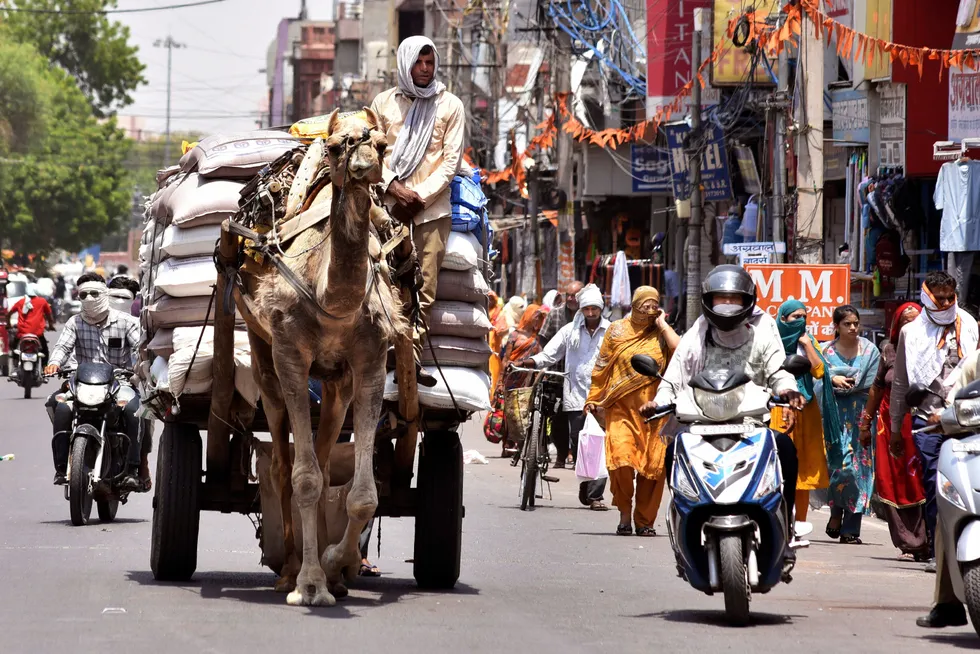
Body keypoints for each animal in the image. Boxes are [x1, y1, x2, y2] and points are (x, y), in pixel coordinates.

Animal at [243, 109, 408, 608]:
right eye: (336, 146)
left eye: (383, 143)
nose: (365, 166)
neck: (330, 300)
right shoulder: (291, 358)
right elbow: (305, 479)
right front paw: (309, 585)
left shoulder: (370, 363)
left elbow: (363, 494)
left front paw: (334, 566)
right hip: (263, 355)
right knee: (283, 465)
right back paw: (287, 571)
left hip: (336, 386)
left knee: (318, 449)